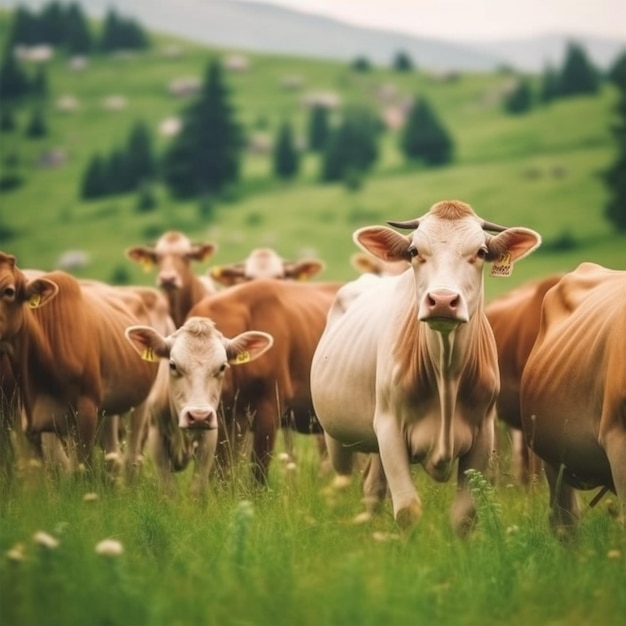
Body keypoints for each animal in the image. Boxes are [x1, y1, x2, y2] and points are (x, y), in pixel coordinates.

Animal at [125, 314, 272, 494]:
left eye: (222, 367)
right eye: (172, 365)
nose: (199, 416)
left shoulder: (209, 438)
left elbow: (197, 487)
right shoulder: (157, 437)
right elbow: (169, 489)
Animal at [186, 280, 342, 482]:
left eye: (221, 366)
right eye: (174, 365)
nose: (197, 414)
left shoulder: (268, 411)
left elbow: (258, 473)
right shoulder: (227, 419)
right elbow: (221, 473)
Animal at [310, 199, 540, 532]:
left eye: (482, 252)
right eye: (414, 251)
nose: (442, 301)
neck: (446, 375)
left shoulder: (483, 435)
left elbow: (464, 516)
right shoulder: (390, 428)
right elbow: (407, 510)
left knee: (372, 488)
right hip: (336, 435)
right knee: (341, 484)